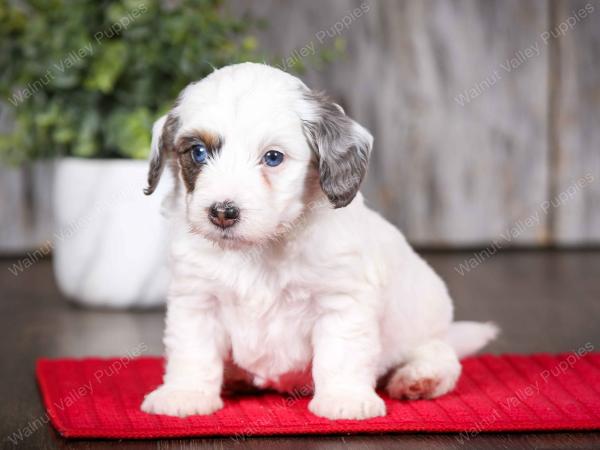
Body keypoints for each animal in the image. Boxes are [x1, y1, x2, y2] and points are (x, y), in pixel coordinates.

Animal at [141, 61, 496, 420]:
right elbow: (192, 351)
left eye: (273, 157)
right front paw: (186, 392)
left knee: (440, 353)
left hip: (421, 324)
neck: (261, 248)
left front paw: (345, 398)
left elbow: (341, 354)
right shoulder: (196, 299)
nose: (222, 213)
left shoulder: (341, 302)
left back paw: (420, 377)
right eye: (198, 152)